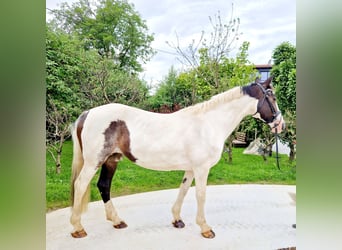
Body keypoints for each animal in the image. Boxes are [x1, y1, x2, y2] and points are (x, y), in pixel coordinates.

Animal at [69, 76, 284, 238]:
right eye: (272, 97)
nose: (281, 125)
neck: (208, 124)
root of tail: (88, 113)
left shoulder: (191, 168)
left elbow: (183, 190)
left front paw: (177, 220)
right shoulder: (201, 168)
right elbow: (200, 195)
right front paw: (205, 228)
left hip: (111, 159)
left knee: (104, 186)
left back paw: (117, 221)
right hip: (94, 161)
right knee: (80, 185)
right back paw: (78, 228)